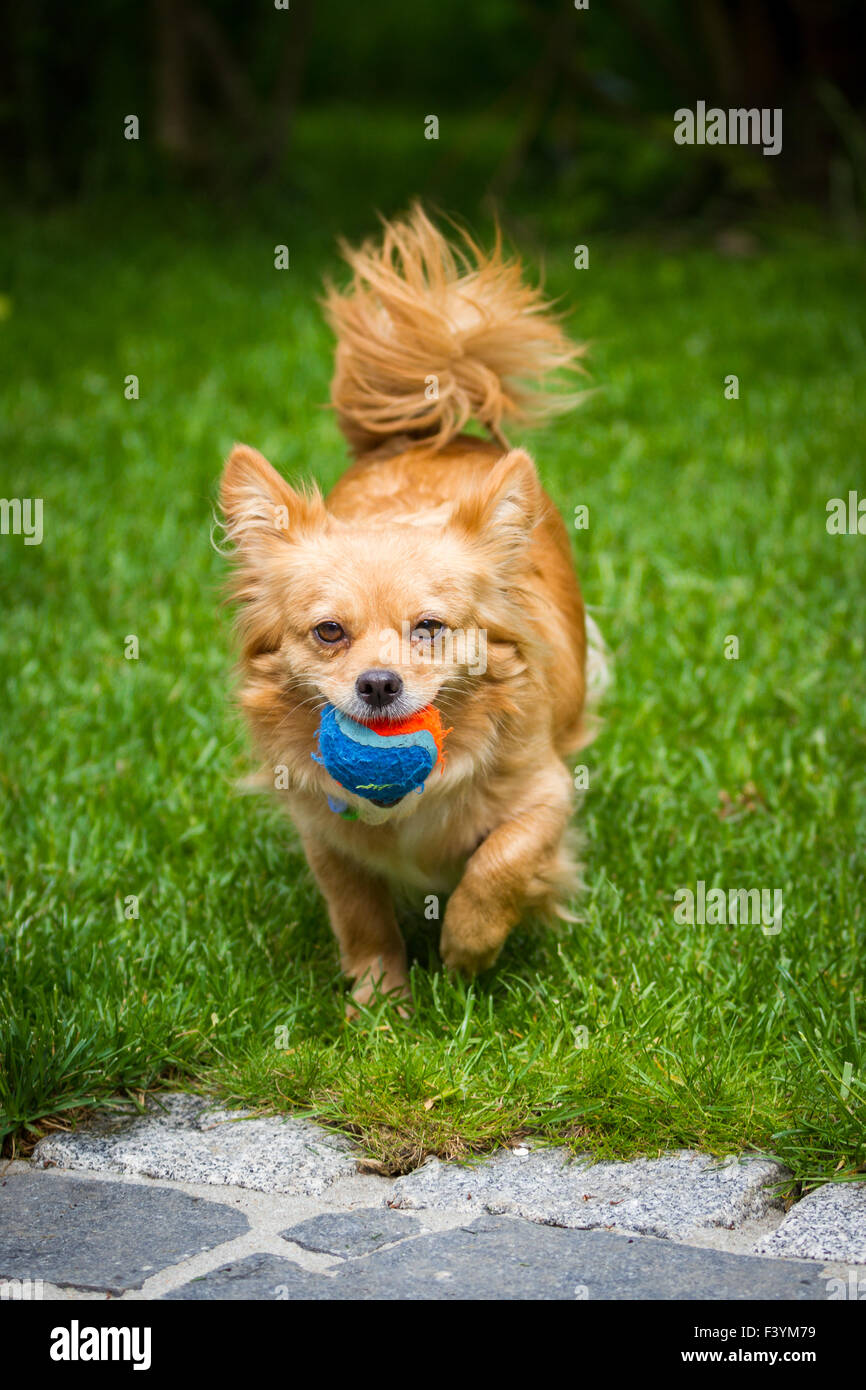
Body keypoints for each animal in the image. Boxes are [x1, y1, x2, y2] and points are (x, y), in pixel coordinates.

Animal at [222, 202, 603, 1011]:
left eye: (429, 629)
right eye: (329, 633)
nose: (378, 684)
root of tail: (426, 431)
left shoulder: (547, 796)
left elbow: (500, 863)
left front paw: (466, 952)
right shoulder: (324, 834)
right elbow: (358, 912)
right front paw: (379, 1003)